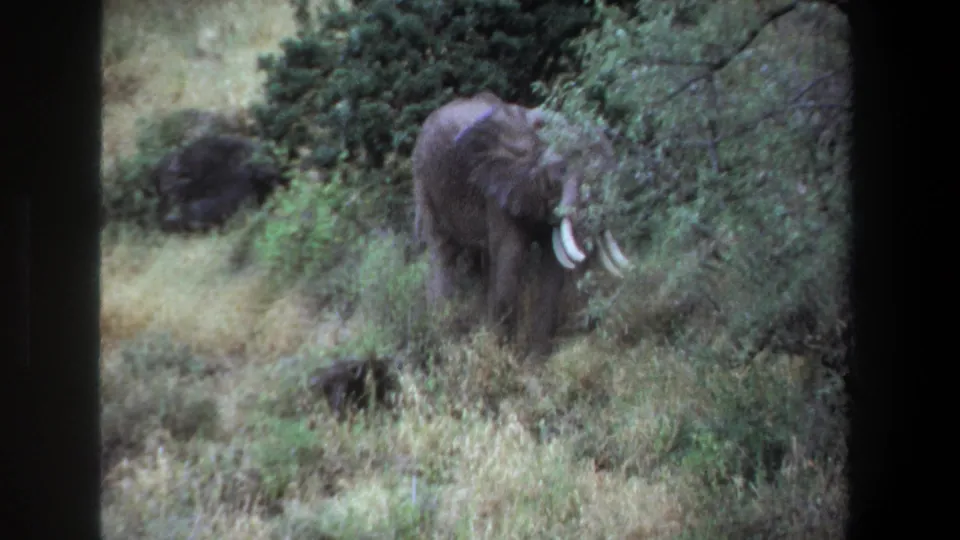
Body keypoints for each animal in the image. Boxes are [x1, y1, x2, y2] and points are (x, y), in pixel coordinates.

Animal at [412, 91, 631, 358]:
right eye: (561, 171)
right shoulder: (497, 188)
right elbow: (510, 258)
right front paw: (504, 357)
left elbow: (552, 269)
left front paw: (536, 360)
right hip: (424, 178)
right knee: (442, 251)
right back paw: (445, 339)